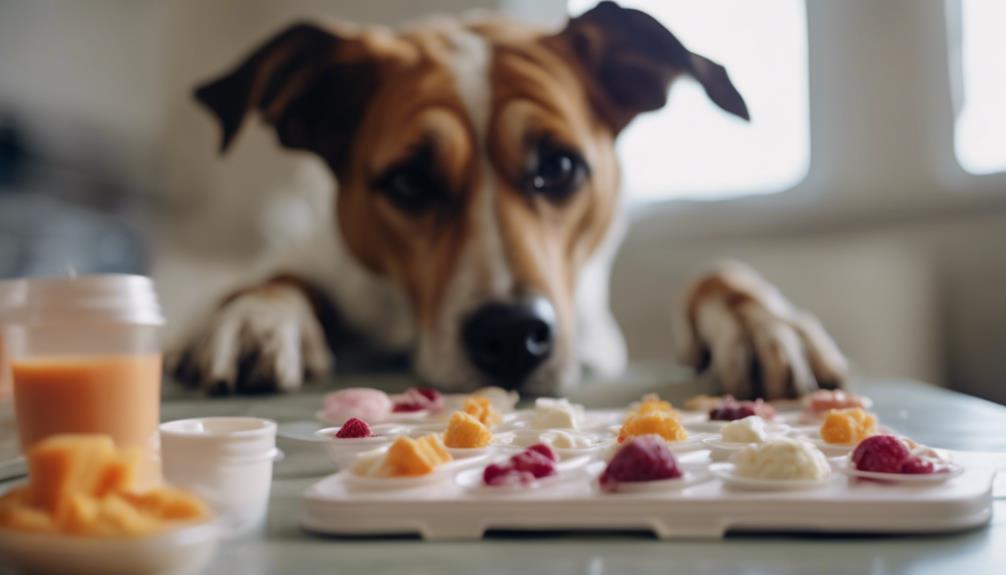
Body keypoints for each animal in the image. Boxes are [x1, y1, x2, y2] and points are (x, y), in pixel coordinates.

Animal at [175, 1, 849, 400]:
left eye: (559, 167)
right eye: (409, 182)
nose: (513, 335)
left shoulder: (598, 338)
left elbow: (715, 272)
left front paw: (762, 321)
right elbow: (276, 280)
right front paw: (256, 318)